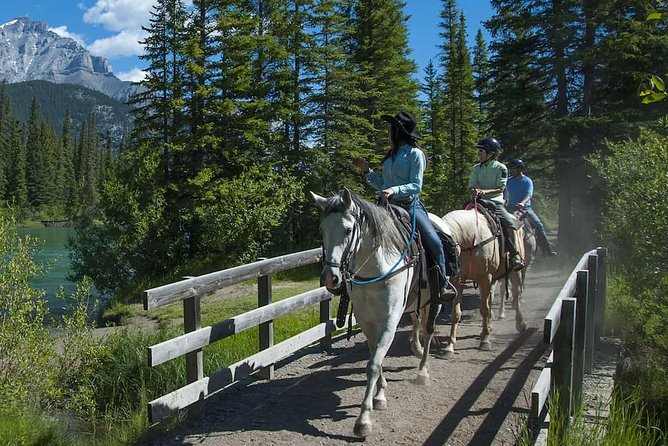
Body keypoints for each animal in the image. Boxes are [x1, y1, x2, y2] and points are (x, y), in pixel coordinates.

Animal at [310, 188, 436, 440]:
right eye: (322, 229)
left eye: (348, 229)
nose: (330, 278)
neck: (376, 270)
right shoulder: (367, 320)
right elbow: (376, 358)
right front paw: (380, 395)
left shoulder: (389, 321)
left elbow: (372, 365)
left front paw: (363, 420)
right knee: (418, 322)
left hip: (434, 299)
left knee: (428, 331)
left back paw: (423, 372)